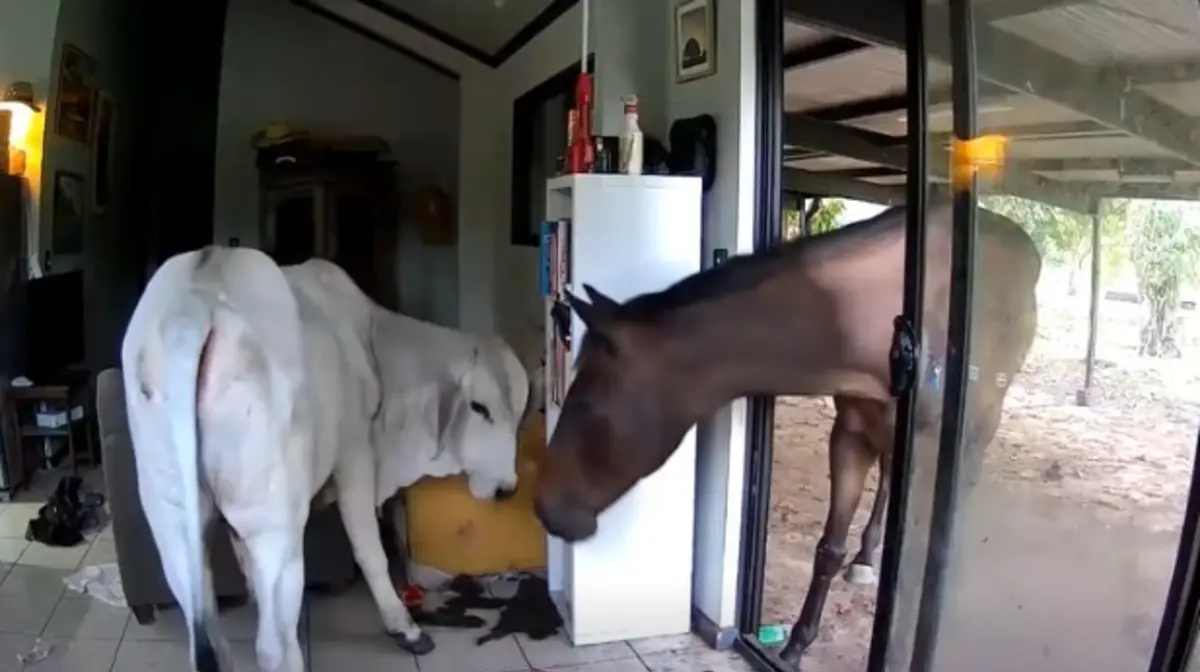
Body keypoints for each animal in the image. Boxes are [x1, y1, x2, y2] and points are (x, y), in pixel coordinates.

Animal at [533, 202, 1042, 668]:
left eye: (586, 404)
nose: (545, 507)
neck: (890, 332)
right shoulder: (851, 436)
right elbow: (829, 550)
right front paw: (797, 645)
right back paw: (867, 556)